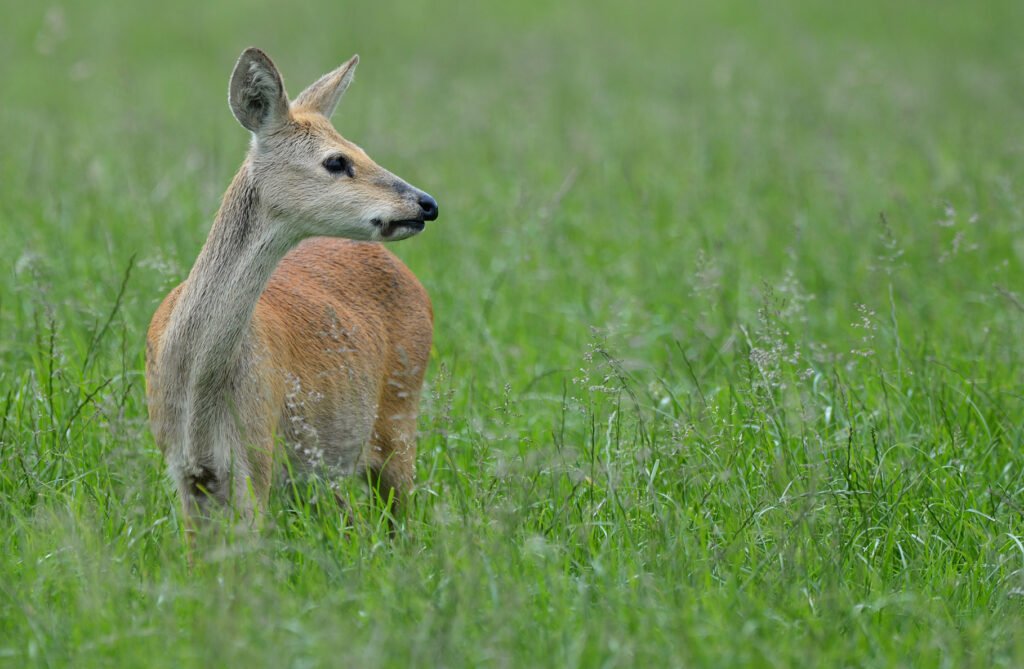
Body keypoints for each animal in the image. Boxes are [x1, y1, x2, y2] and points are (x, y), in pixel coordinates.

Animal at [145, 47, 437, 535]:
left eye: (362, 150)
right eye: (336, 160)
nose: (427, 203)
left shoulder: (257, 459)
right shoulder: (187, 472)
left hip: (399, 417)